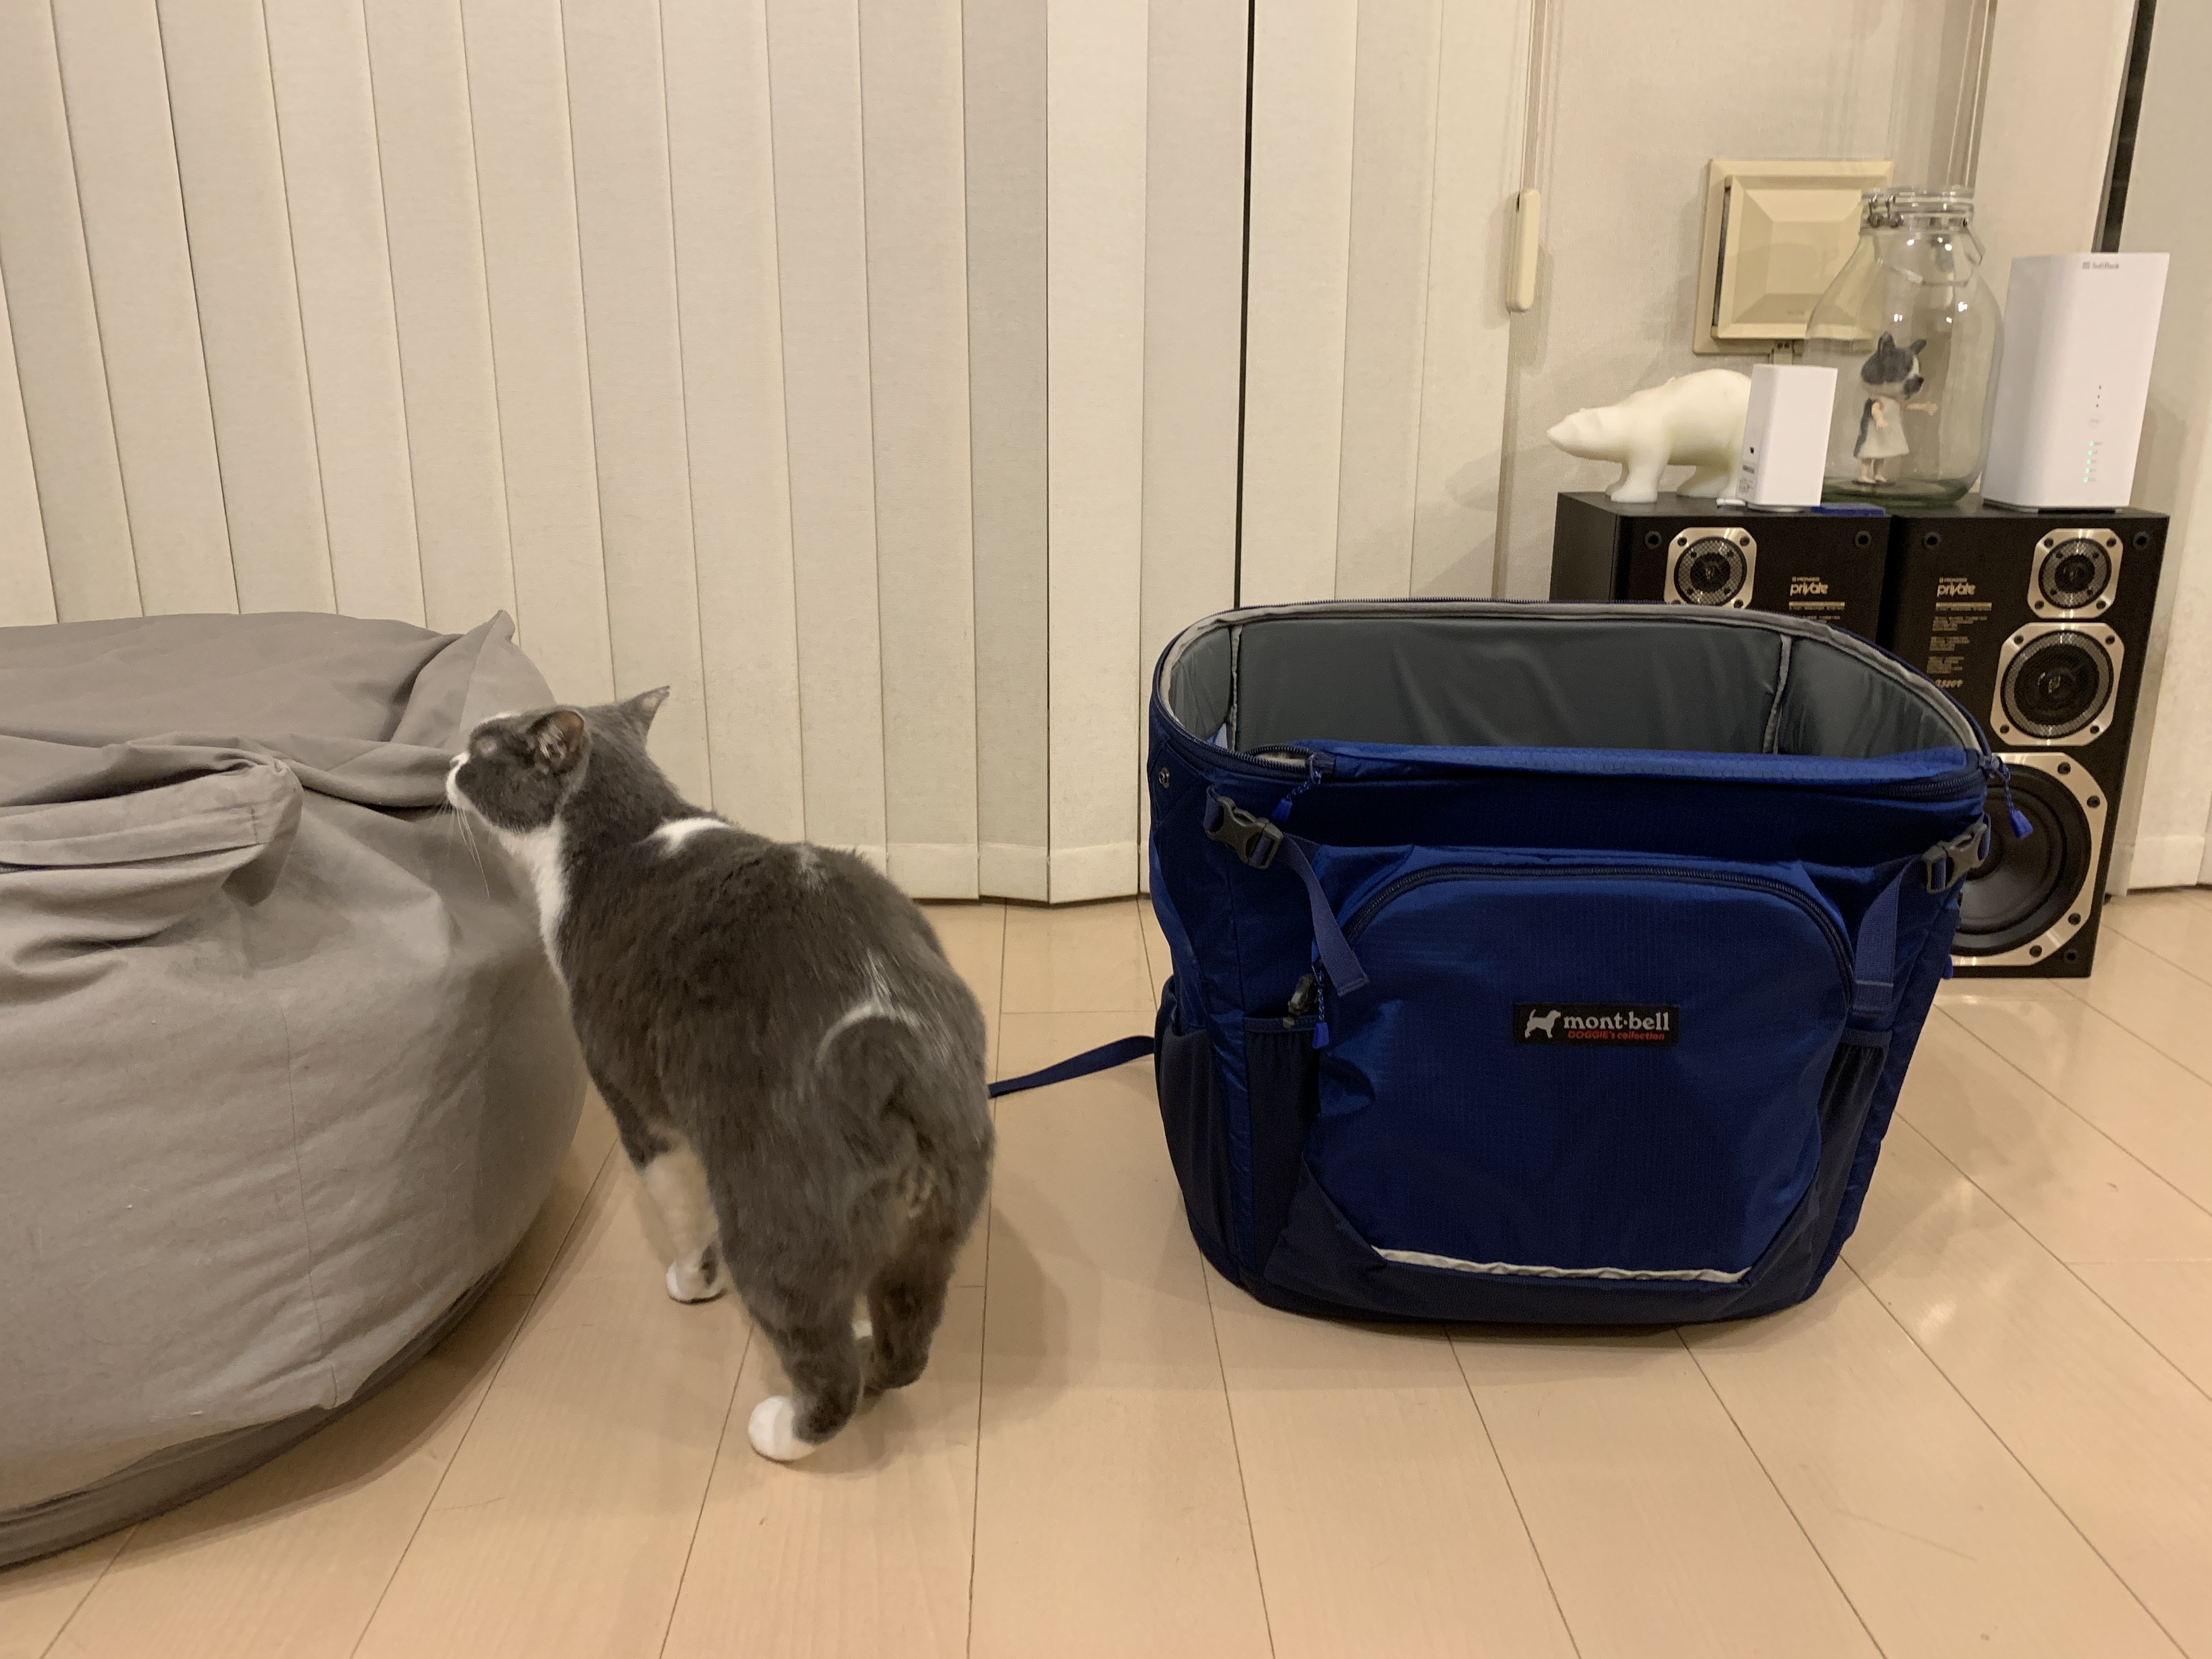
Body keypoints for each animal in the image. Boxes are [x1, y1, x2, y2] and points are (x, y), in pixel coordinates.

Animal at [446, 688, 993, 1462]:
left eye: (483, 748)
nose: (447, 762)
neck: (626, 835)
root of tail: (893, 1041)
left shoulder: (639, 1105)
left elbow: (678, 1207)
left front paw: (691, 1281)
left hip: (771, 1215)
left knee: (822, 1361)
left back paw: (784, 1429)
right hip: (936, 1230)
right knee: (906, 1344)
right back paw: (873, 1351)